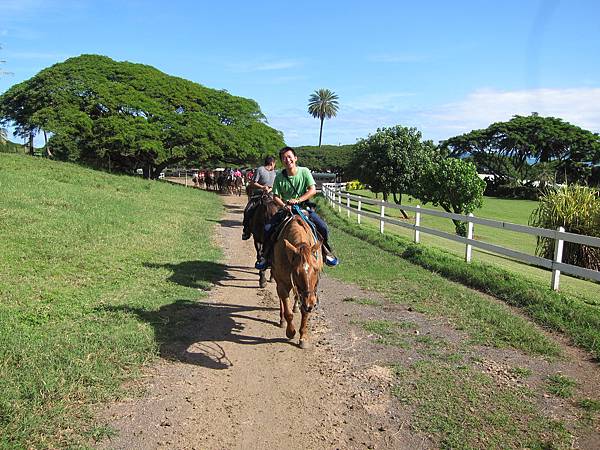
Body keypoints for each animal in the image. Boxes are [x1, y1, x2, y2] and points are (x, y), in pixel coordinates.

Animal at [270, 216, 322, 350]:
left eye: (316, 269)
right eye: (296, 272)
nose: (311, 303)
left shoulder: (308, 295)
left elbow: (305, 312)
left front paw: (303, 337)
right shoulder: (282, 285)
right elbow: (288, 312)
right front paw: (290, 331)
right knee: (282, 301)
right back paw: (282, 320)